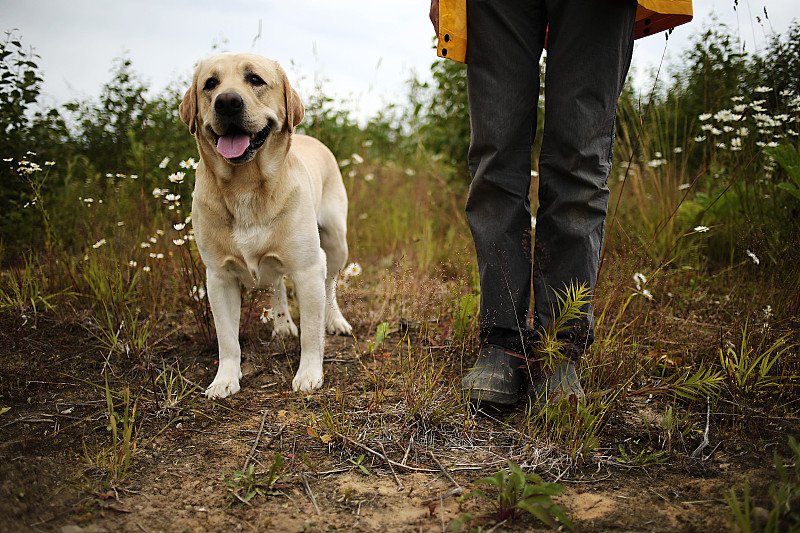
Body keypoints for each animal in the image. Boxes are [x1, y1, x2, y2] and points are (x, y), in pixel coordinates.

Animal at [183, 52, 354, 396]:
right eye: (210, 84)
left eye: (255, 80)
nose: (227, 102)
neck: (245, 186)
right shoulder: (218, 277)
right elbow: (227, 338)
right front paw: (225, 380)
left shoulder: (307, 268)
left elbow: (311, 331)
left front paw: (309, 374)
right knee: (276, 282)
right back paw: (283, 322)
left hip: (335, 242)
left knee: (330, 284)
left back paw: (335, 320)